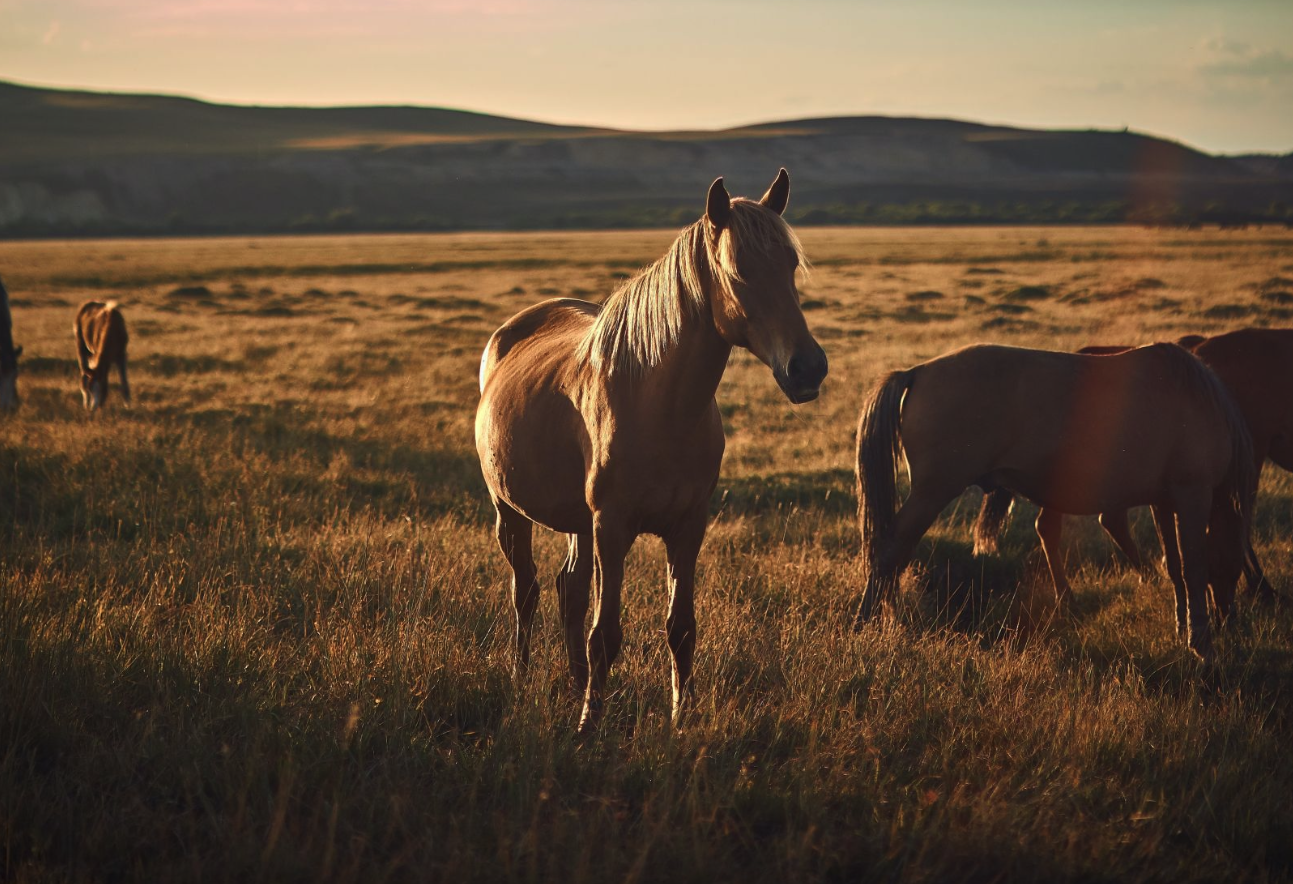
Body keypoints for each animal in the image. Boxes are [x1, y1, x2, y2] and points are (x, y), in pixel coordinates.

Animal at [475, 173, 827, 734]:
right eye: (737, 271)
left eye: (791, 265)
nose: (807, 368)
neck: (659, 406)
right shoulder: (612, 527)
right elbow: (605, 634)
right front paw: (588, 728)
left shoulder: (687, 527)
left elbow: (680, 627)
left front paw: (681, 718)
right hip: (510, 511)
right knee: (525, 591)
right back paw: (521, 679)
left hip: (577, 524)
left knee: (568, 591)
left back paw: (576, 685)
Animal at [858, 341, 1251, 659]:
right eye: (1233, 564)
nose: (1230, 619)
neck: (1196, 401)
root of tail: (918, 372)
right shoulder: (1192, 494)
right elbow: (1193, 566)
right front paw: (1201, 643)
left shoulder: (1164, 501)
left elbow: (1175, 564)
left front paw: (1184, 627)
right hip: (932, 492)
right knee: (889, 552)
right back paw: (865, 623)